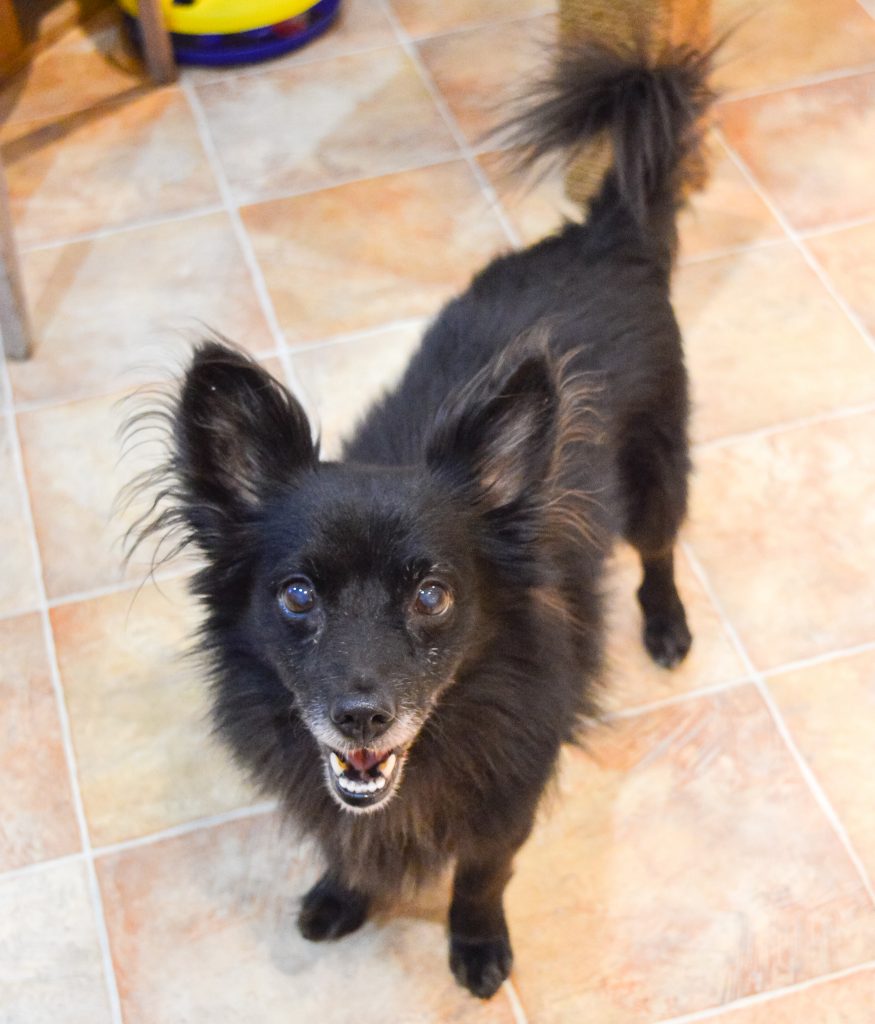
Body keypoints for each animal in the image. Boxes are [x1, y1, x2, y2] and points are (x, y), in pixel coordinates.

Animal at [132, 44, 721, 995]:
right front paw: (342, 895)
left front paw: (476, 946)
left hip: (657, 472)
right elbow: (348, 838)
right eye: (296, 596)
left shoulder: (510, 797)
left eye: (432, 595)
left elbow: (482, 874)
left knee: (659, 549)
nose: (360, 718)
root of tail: (603, 236)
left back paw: (665, 626)